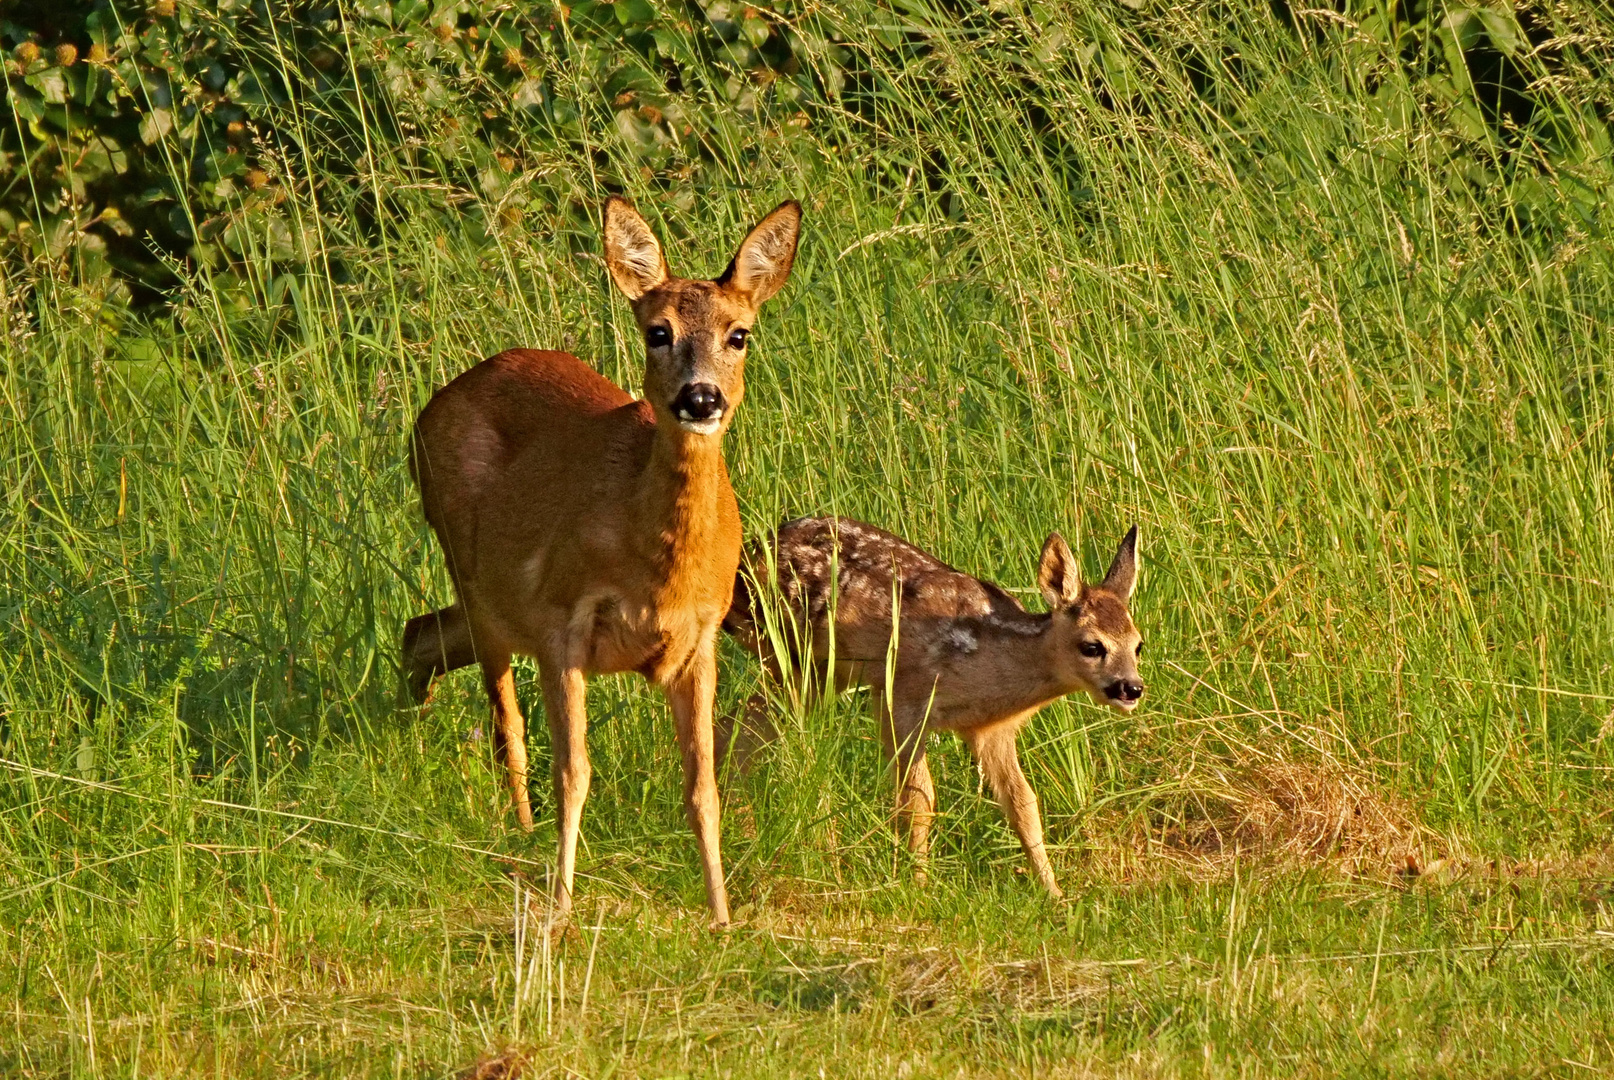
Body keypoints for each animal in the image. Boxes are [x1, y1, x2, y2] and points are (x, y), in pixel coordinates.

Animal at [401, 197, 800, 923]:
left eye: (740, 335)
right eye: (658, 331)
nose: (701, 398)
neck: (656, 566)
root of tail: (432, 405)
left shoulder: (701, 637)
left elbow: (703, 784)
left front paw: (722, 916)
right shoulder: (563, 621)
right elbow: (576, 771)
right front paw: (560, 906)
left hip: (492, 606)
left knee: (419, 633)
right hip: (478, 579)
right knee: (505, 719)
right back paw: (520, 829)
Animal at [726, 516, 1142, 897]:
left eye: (1138, 644)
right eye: (1092, 646)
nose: (1132, 688)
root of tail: (744, 558)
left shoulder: (993, 731)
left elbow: (1024, 804)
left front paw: (1053, 892)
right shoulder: (902, 701)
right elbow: (919, 800)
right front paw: (919, 885)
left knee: (737, 728)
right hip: (792, 657)